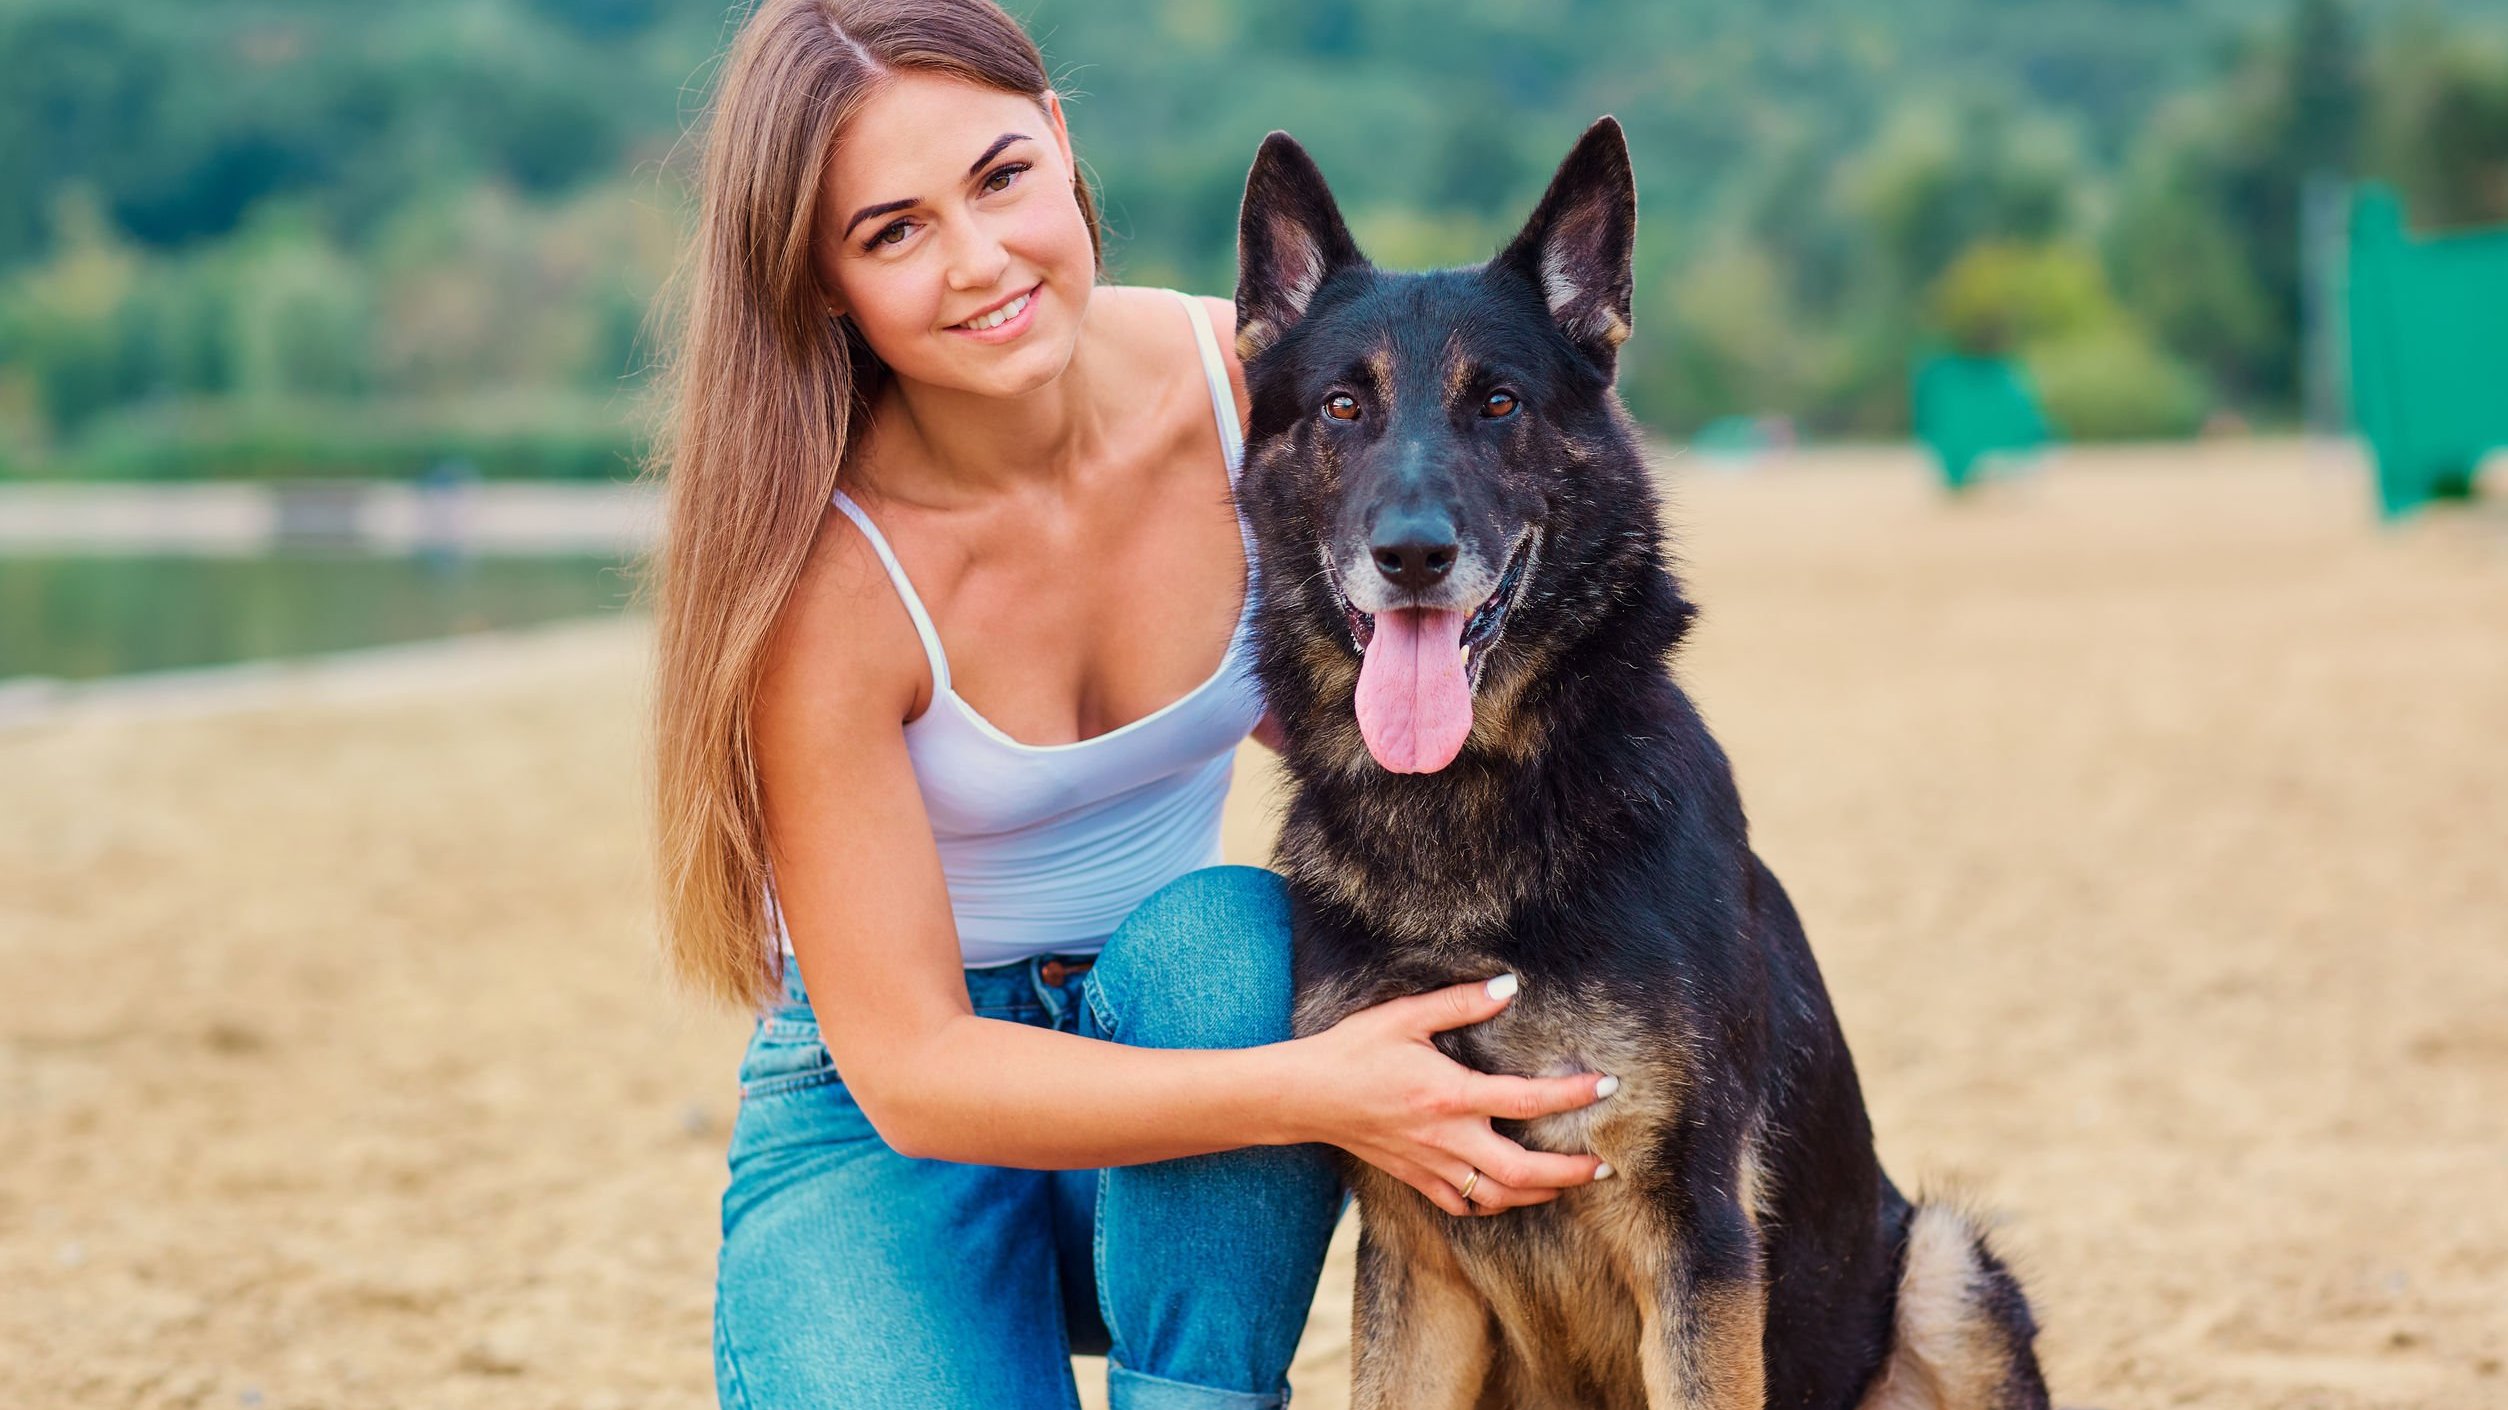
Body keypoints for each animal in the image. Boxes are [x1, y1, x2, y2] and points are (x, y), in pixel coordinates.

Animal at [1223, 120, 2046, 1404]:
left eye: (1498, 402)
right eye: (1345, 405)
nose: (1412, 556)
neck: (1468, 811)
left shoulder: (1696, 1246)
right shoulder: (1411, 1251)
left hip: (1948, 1271)